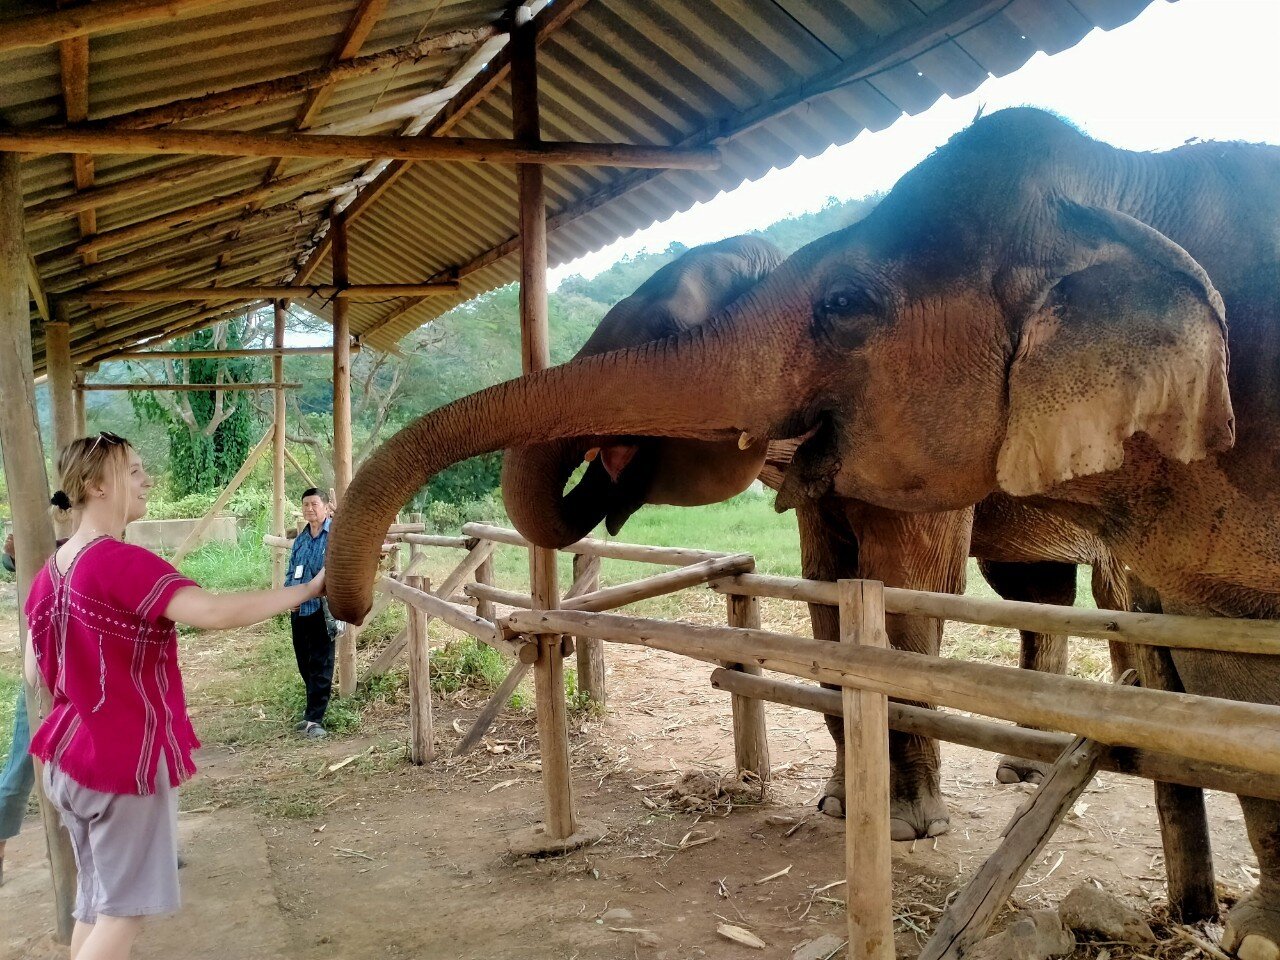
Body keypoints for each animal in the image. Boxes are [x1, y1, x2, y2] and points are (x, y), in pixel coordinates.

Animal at [328, 108, 1280, 957]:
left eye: (657, 330)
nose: (352, 606)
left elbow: (909, 588)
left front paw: (906, 828)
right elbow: (829, 586)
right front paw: (839, 806)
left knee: (1112, 595)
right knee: (1035, 591)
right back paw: (1031, 769)